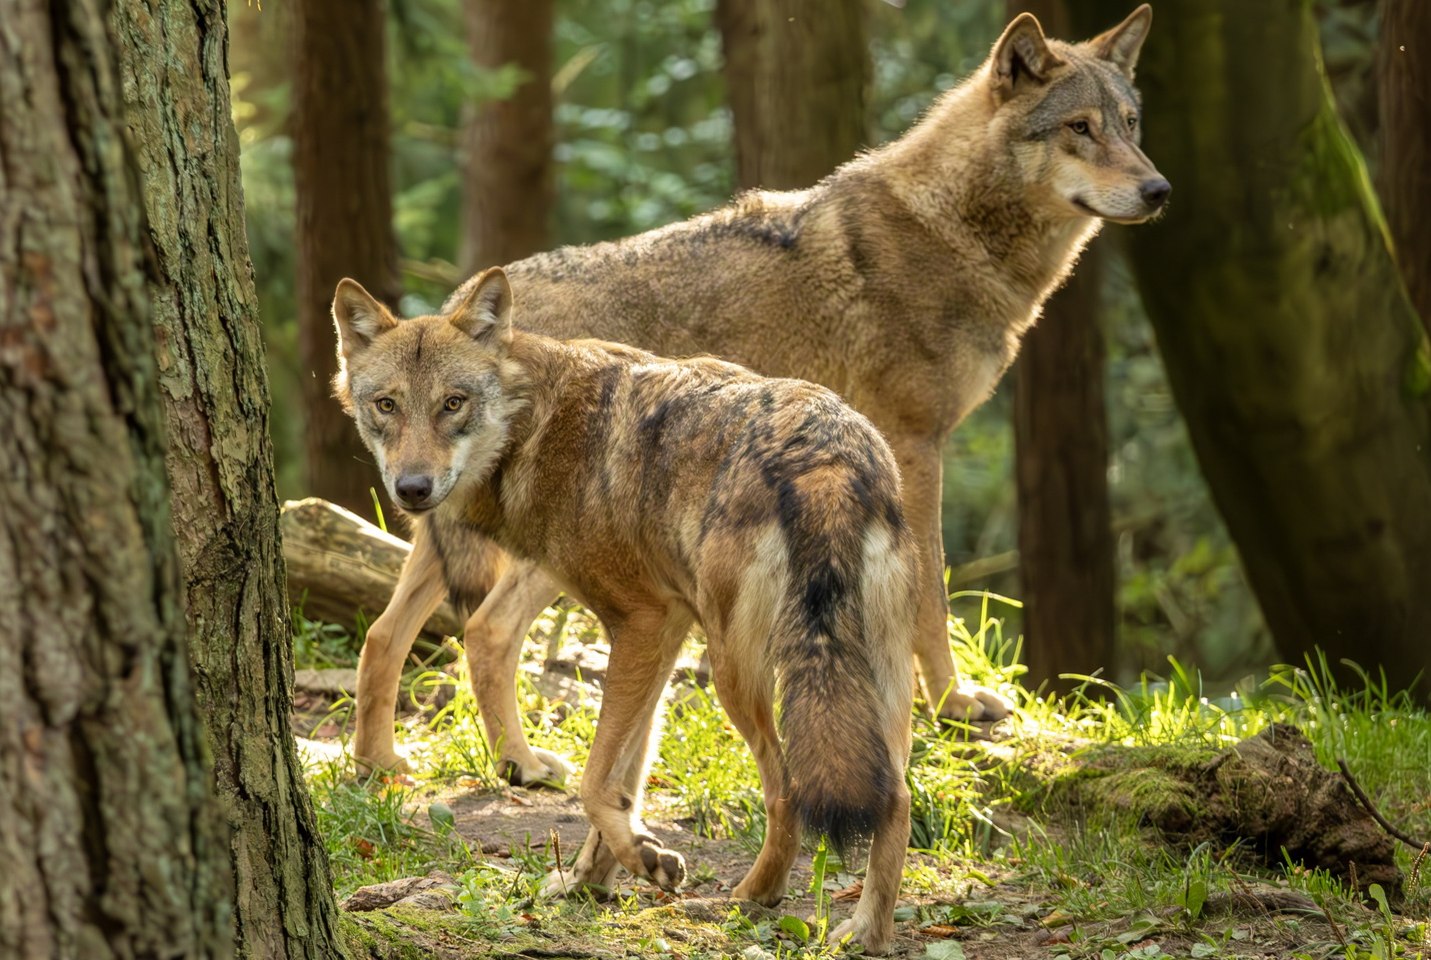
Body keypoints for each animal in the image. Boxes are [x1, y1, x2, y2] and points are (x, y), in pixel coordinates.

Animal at [331, 268, 915, 955]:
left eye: (453, 403)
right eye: (386, 405)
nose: (413, 488)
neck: (538, 425)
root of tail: (825, 456)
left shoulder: (643, 623)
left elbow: (592, 780)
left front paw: (630, 863)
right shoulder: (663, 633)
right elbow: (624, 779)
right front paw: (602, 875)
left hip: (736, 675)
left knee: (789, 788)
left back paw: (751, 897)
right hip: (867, 681)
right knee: (896, 794)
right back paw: (865, 931)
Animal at [346, 5, 1161, 789]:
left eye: (1129, 123)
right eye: (1078, 127)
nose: (1159, 190)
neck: (951, 231)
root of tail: (462, 303)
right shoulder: (916, 447)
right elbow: (931, 592)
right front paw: (954, 703)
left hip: (446, 519)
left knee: (387, 634)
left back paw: (387, 766)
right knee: (485, 631)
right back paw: (517, 765)